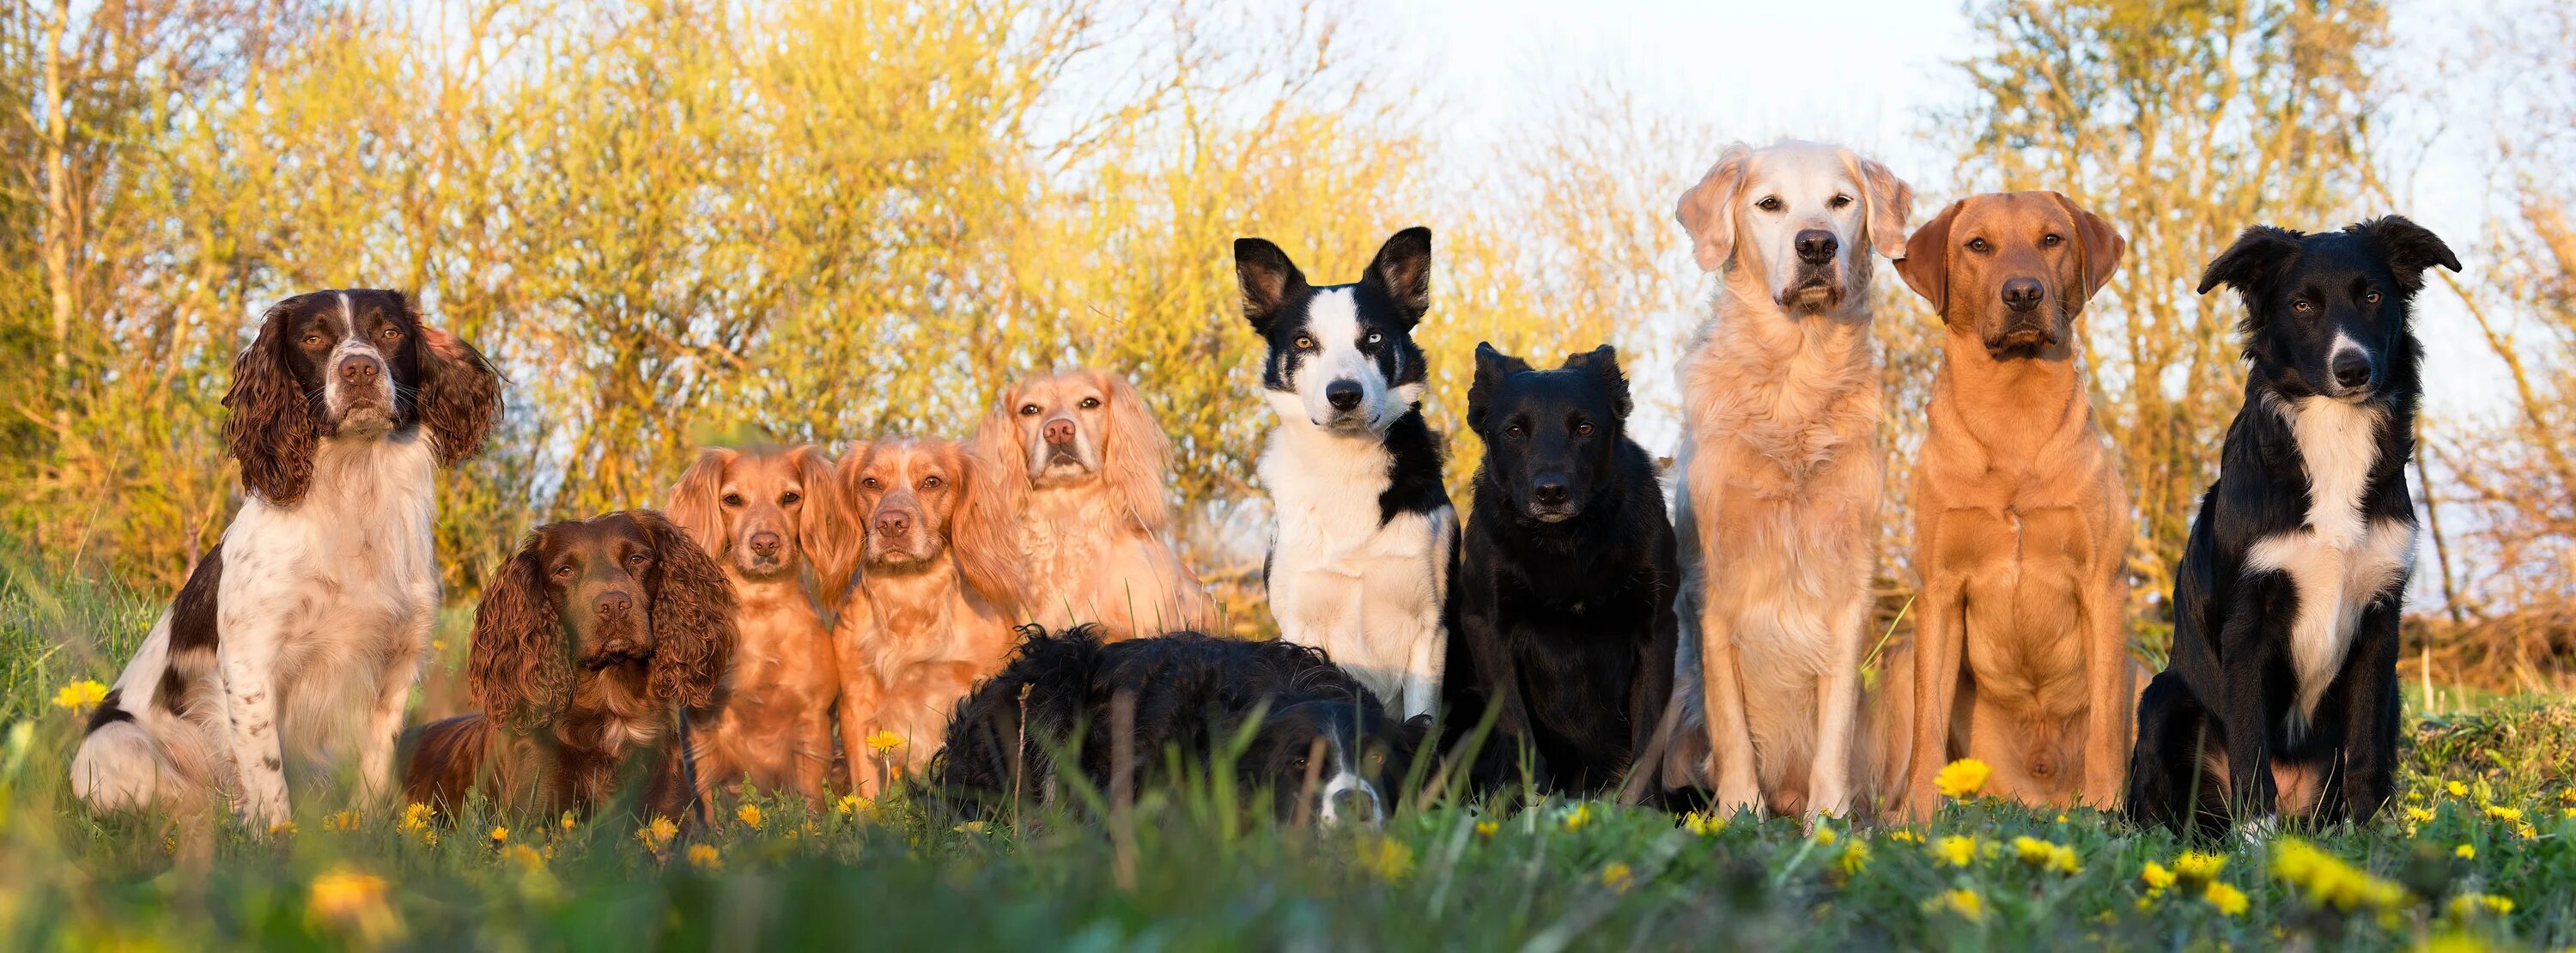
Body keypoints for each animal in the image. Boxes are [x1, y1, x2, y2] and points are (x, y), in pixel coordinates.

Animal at [1443, 340, 1680, 793]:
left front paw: (1642, 808)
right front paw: (1530, 804)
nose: (1551, 492)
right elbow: (1518, 730)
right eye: (1514, 431)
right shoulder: (1487, 625)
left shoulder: (1656, 629)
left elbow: (1648, 743)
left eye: (1584, 428)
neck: (1566, 545)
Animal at [2123, 217, 2463, 835]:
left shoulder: (2380, 621)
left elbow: (2366, 751)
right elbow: (2251, 747)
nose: (2352, 370)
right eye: (2303, 305)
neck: (2333, 435)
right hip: (2164, 699)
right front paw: (2257, 838)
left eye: (2372, 296)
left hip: (2395, 697)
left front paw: (2368, 834)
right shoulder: (2249, 623)